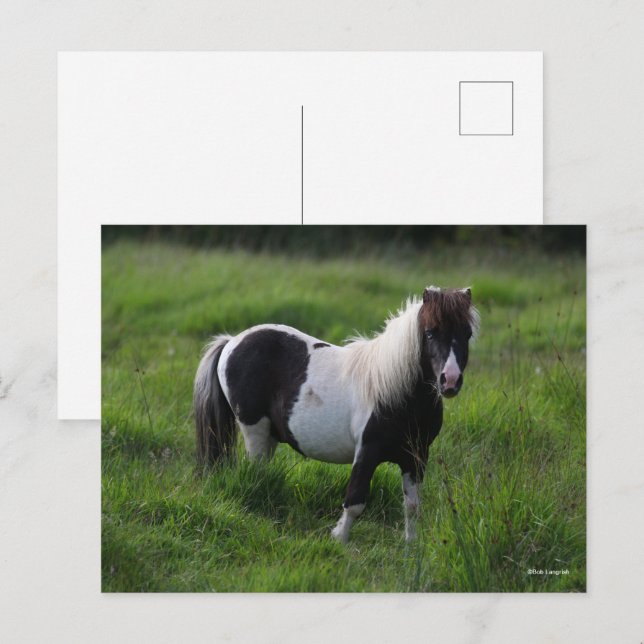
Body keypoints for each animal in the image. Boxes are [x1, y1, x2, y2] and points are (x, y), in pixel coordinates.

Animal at [194, 286, 479, 543]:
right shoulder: (367, 452)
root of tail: (232, 341)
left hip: (268, 436)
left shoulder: (416, 457)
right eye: (430, 333)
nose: (450, 381)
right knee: (254, 473)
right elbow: (354, 501)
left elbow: (412, 506)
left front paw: (411, 547)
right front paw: (339, 540)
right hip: (254, 430)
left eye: (467, 334)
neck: (395, 391)